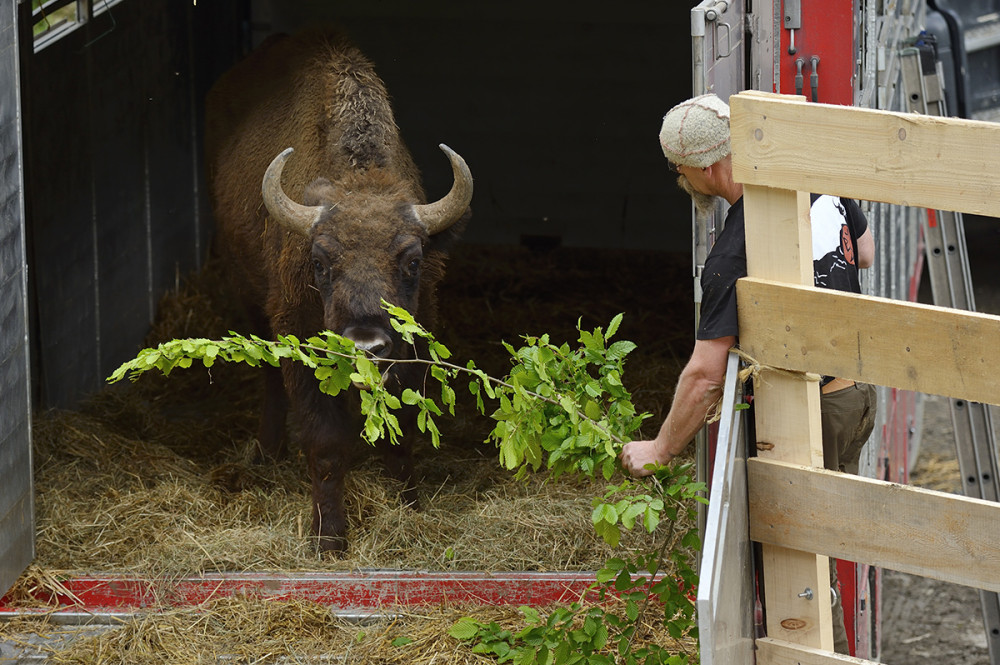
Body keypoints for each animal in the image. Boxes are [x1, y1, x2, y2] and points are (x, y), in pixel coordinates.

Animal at [203, 28, 472, 552]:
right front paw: (328, 538)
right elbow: (325, 440)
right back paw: (267, 450)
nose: (364, 344)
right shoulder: (299, 339)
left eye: (413, 260)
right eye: (320, 262)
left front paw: (409, 507)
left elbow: (401, 432)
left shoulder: (415, 341)